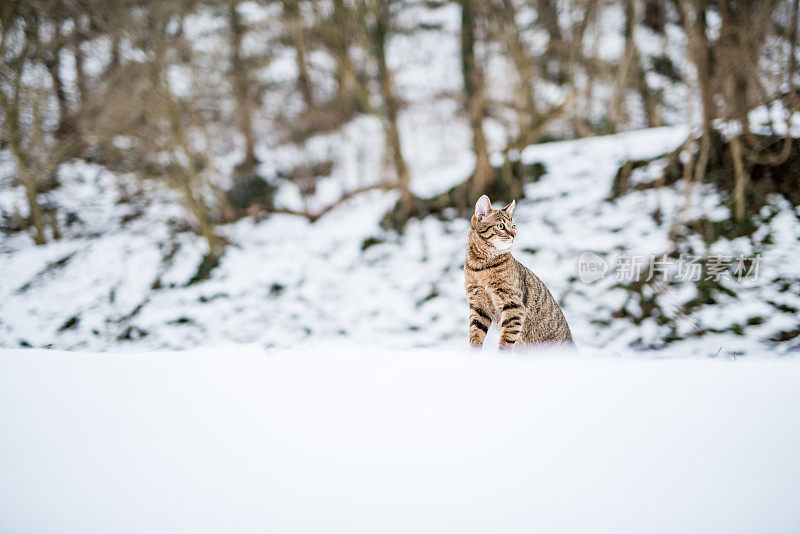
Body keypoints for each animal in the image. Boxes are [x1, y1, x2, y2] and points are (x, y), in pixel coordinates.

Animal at [466, 195, 572, 350]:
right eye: (501, 226)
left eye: (514, 226)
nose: (514, 234)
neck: (482, 266)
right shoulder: (478, 306)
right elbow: (475, 336)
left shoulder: (514, 305)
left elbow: (506, 342)